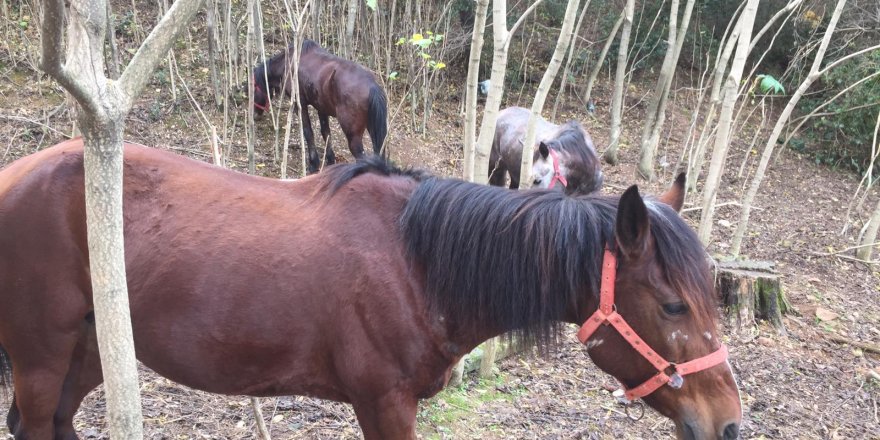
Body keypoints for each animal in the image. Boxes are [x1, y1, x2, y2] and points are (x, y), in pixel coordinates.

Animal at [0, 138, 744, 440]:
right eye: (673, 305)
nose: (730, 423)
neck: (417, 264)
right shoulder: (384, 404)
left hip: (92, 351)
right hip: (42, 357)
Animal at [253, 39, 386, 173]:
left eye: (252, 89)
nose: (255, 115)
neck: (288, 63)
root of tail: (371, 85)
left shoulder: (300, 104)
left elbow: (308, 132)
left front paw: (313, 163)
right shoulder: (322, 108)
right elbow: (325, 132)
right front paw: (330, 159)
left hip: (353, 136)